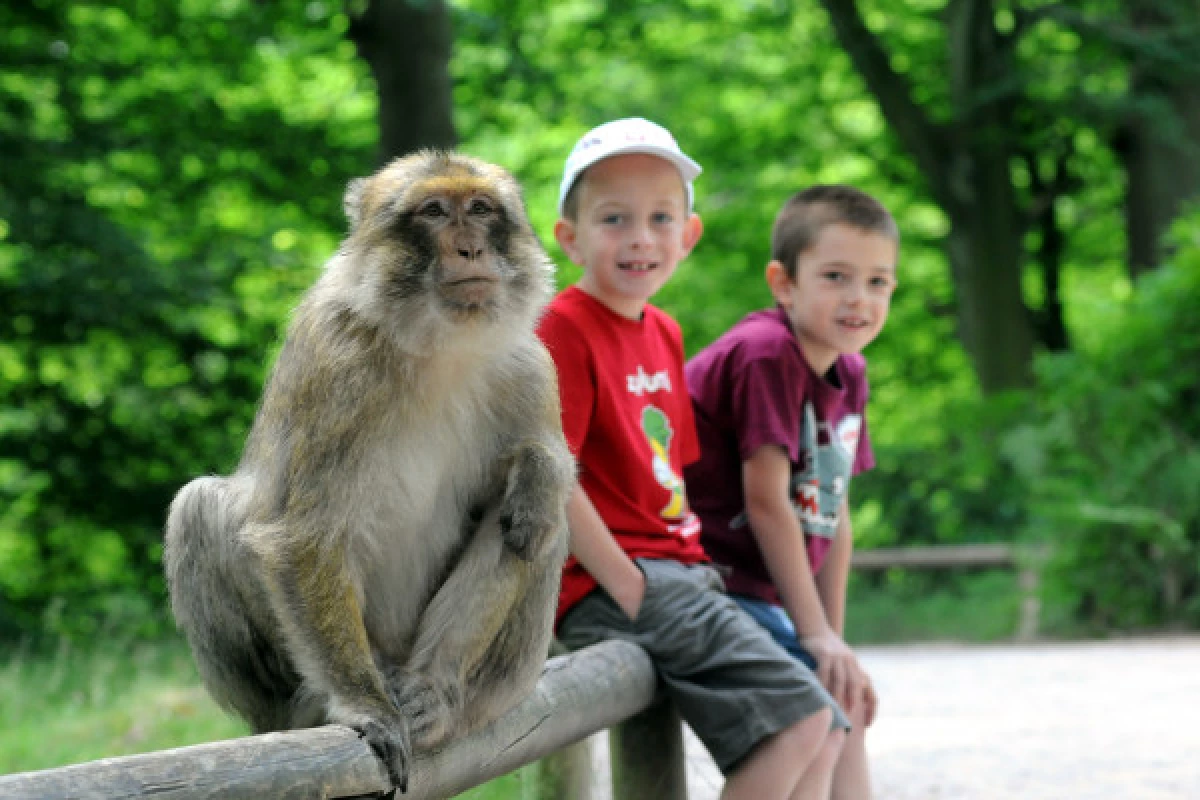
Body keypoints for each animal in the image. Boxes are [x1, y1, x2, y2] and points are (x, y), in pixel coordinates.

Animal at [163, 148, 571, 786]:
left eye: (481, 209)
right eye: (434, 212)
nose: (470, 250)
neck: (437, 348)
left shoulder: (527, 367)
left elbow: (535, 489)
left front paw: (538, 471)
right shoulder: (334, 364)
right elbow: (302, 536)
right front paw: (364, 706)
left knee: (543, 527)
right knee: (197, 507)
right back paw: (304, 708)